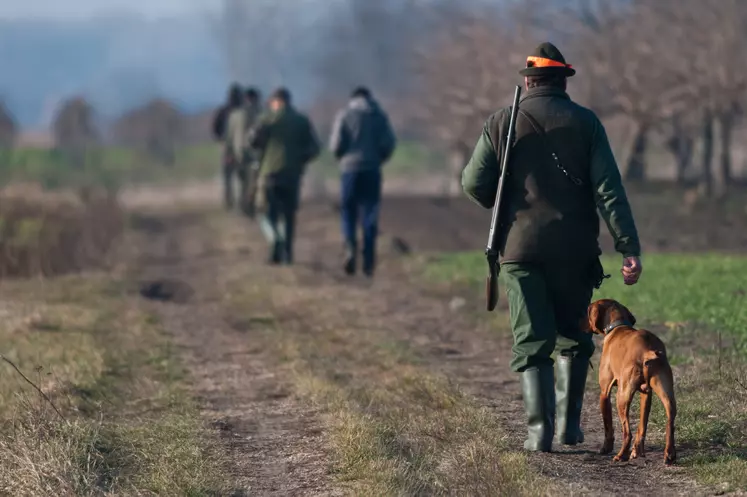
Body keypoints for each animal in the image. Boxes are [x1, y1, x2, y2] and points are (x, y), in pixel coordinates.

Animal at [580, 298, 680, 464]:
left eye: (587, 310)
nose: (577, 322)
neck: (618, 326)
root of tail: (647, 350)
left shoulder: (604, 393)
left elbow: (608, 426)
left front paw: (605, 448)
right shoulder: (646, 394)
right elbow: (642, 426)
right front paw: (637, 451)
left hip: (622, 396)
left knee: (627, 432)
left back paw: (621, 455)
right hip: (667, 394)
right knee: (669, 423)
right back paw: (669, 455)